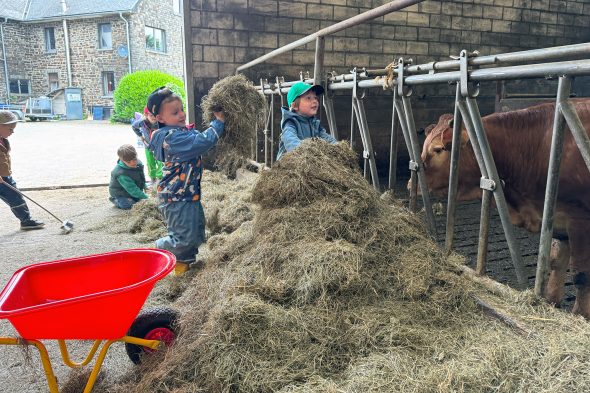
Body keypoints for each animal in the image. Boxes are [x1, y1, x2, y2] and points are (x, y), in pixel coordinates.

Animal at [420, 99, 590, 316]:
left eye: (439, 149)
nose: (412, 180)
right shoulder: (558, 218)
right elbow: (556, 263)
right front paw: (552, 302)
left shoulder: (580, 220)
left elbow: (581, 274)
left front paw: (580, 315)